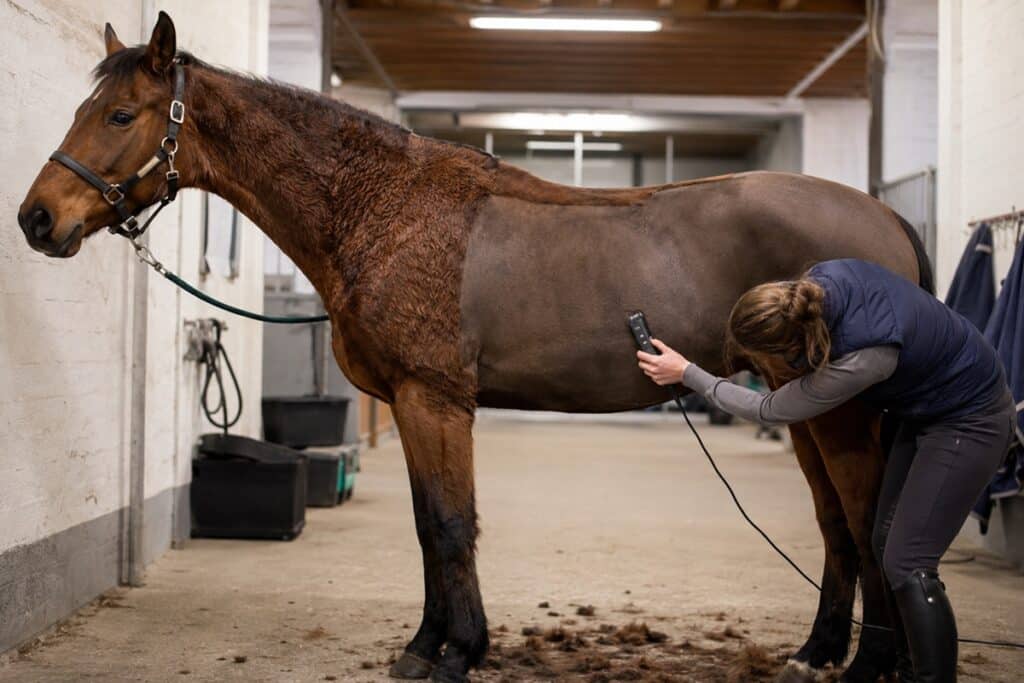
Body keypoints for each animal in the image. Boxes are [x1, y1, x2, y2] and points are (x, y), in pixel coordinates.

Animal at [18, 13, 930, 683]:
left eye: (120, 115)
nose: (37, 218)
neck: (384, 206)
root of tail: (883, 215)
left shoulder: (435, 398)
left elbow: (453, 524)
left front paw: (460, 652)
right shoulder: (413, 403)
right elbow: (429, 526)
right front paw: (426, 645)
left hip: (841, 415)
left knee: (864, 519)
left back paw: (871, 664)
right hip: (800, 406)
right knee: (835, 525)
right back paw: (816, 653)